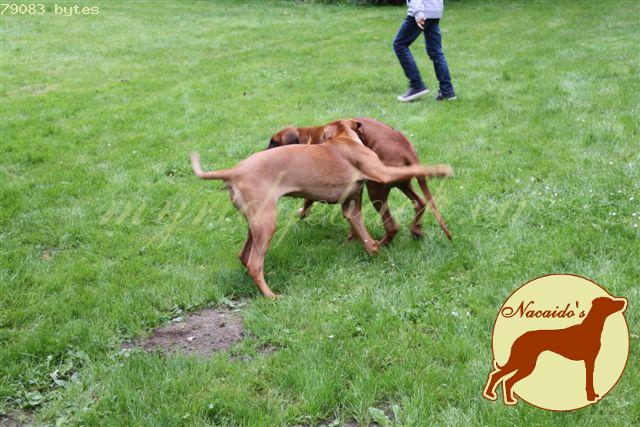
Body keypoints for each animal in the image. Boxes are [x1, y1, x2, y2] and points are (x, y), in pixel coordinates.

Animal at [268, 117, 452, 244]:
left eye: (274, 143)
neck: (309, 137)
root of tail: (408, 150)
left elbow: (309, 198)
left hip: (375, 190)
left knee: (392, 226)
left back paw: (380, 244)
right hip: (402, 184)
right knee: (420, 203)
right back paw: (415, 230)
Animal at [483, 296, 627, 405]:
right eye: (610, 301)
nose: (624, 302)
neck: (591, 328)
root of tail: (518, 338)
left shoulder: (589, 361)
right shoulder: (589, 361)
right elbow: (589, 381)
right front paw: (591, 397)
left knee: (503, 378)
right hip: (524, 363)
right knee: (501, 377)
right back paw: (496, 396)